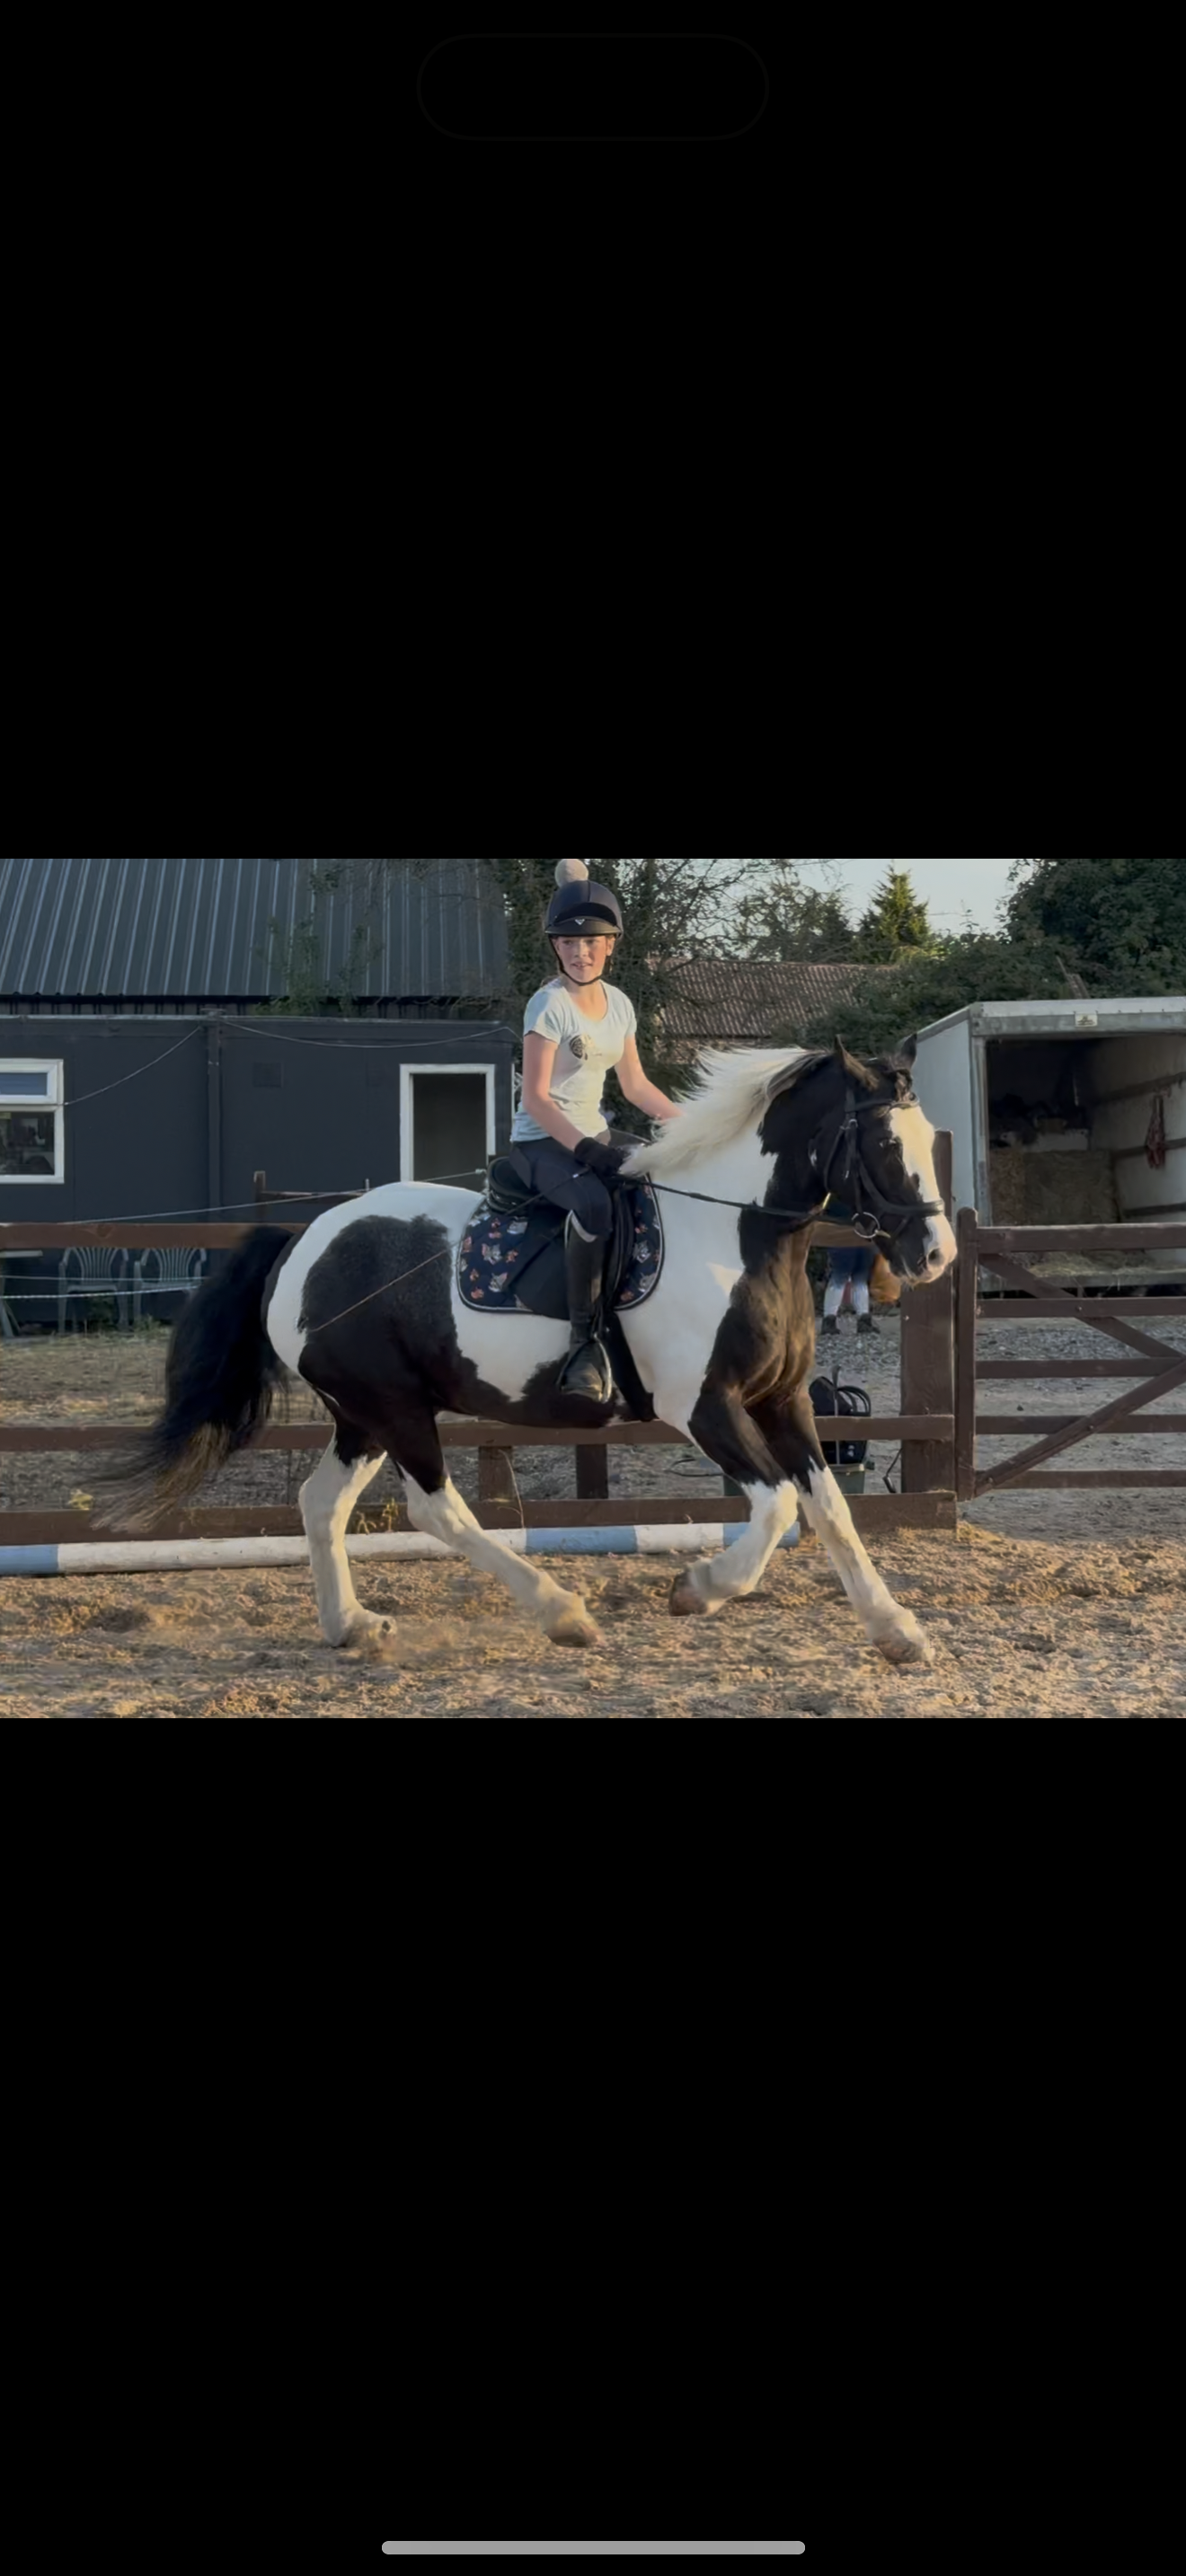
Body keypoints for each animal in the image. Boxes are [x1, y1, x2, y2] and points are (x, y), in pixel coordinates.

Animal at [91, 1035, 957, 1668]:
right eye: (884, 1142)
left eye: (924, 1138)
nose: (936, 1255)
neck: (731, 1235)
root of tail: (304, 1239)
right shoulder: (703, 1408)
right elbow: (776, 1507)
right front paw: (698, 1588)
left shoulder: (781, 1402)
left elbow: (830, 1509)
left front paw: (897, 1630)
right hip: (395, 1408)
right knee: (435, 1508)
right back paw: (563, 1613)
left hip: (362, 1416)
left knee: (322, 1503)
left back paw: (353, 1626)